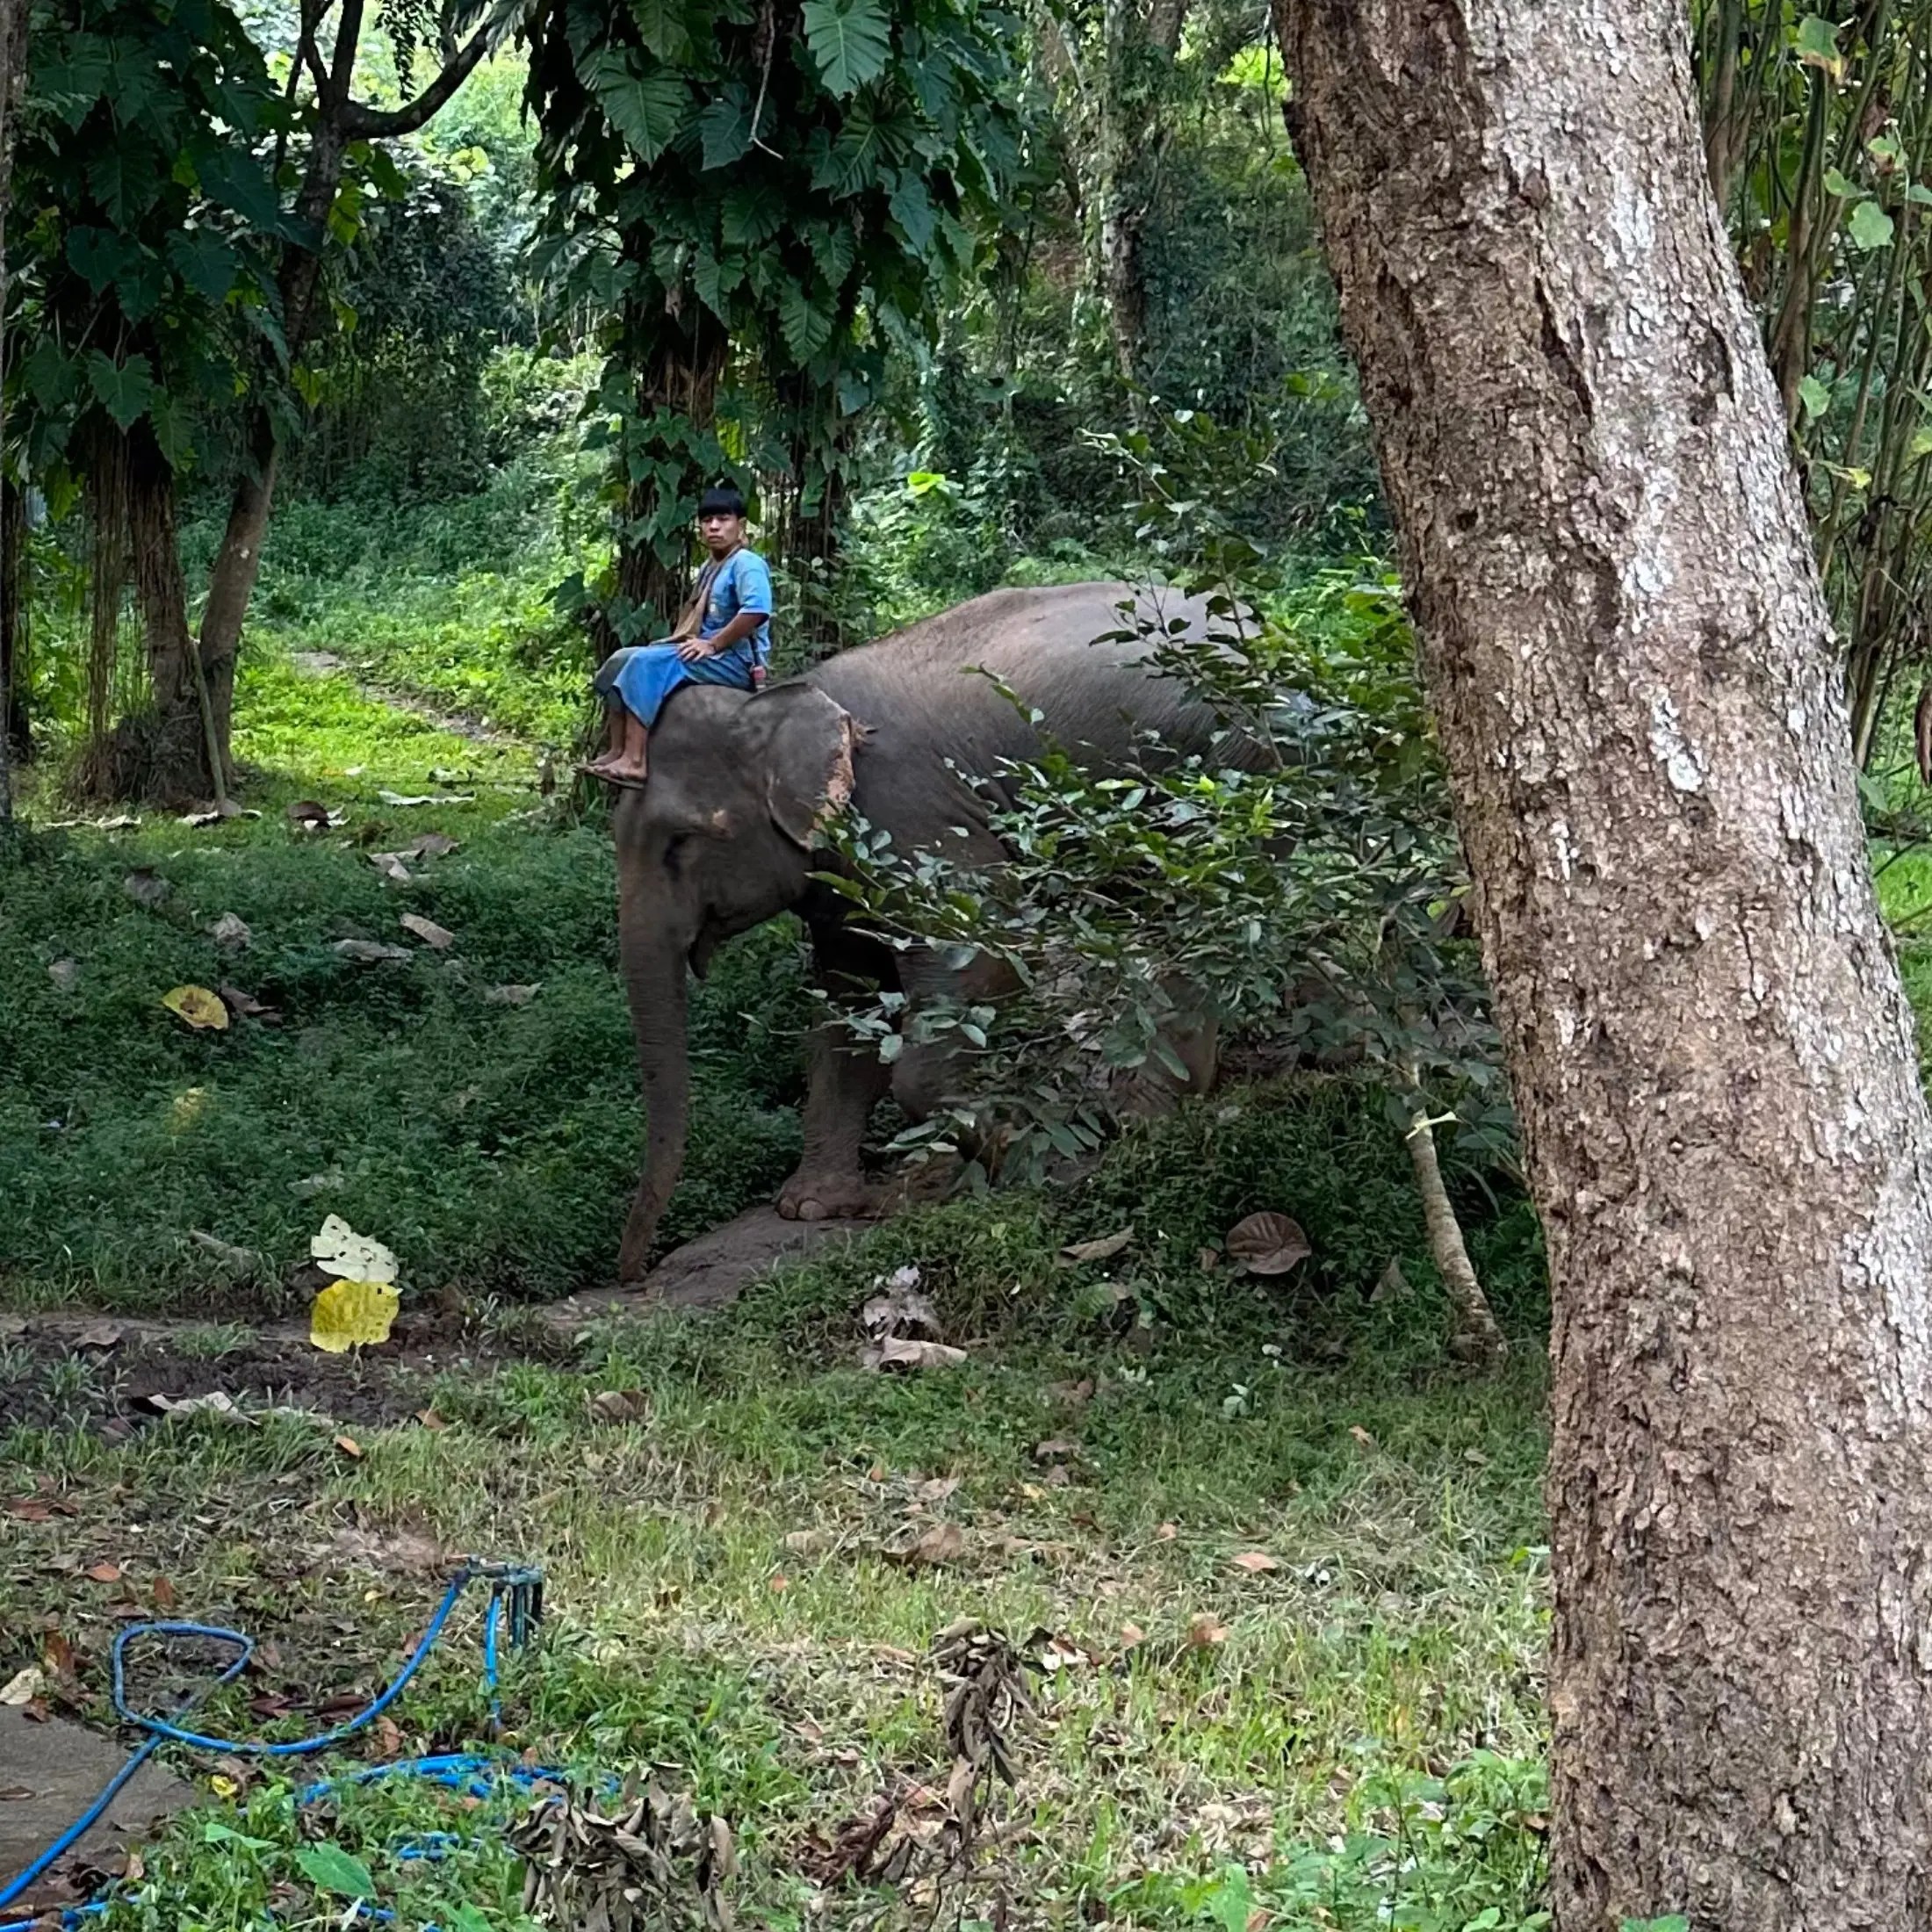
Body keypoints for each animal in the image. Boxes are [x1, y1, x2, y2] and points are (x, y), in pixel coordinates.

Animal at [610, 579, 1275, 1284]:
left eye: (681, 842)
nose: (635, 1272)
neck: (779, 700)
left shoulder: (912, 816)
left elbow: (983, 957)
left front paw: (1006, 1145)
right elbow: (850, 1006)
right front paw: (813, 1206)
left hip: (1230, 768)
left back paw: (1145, 1114)